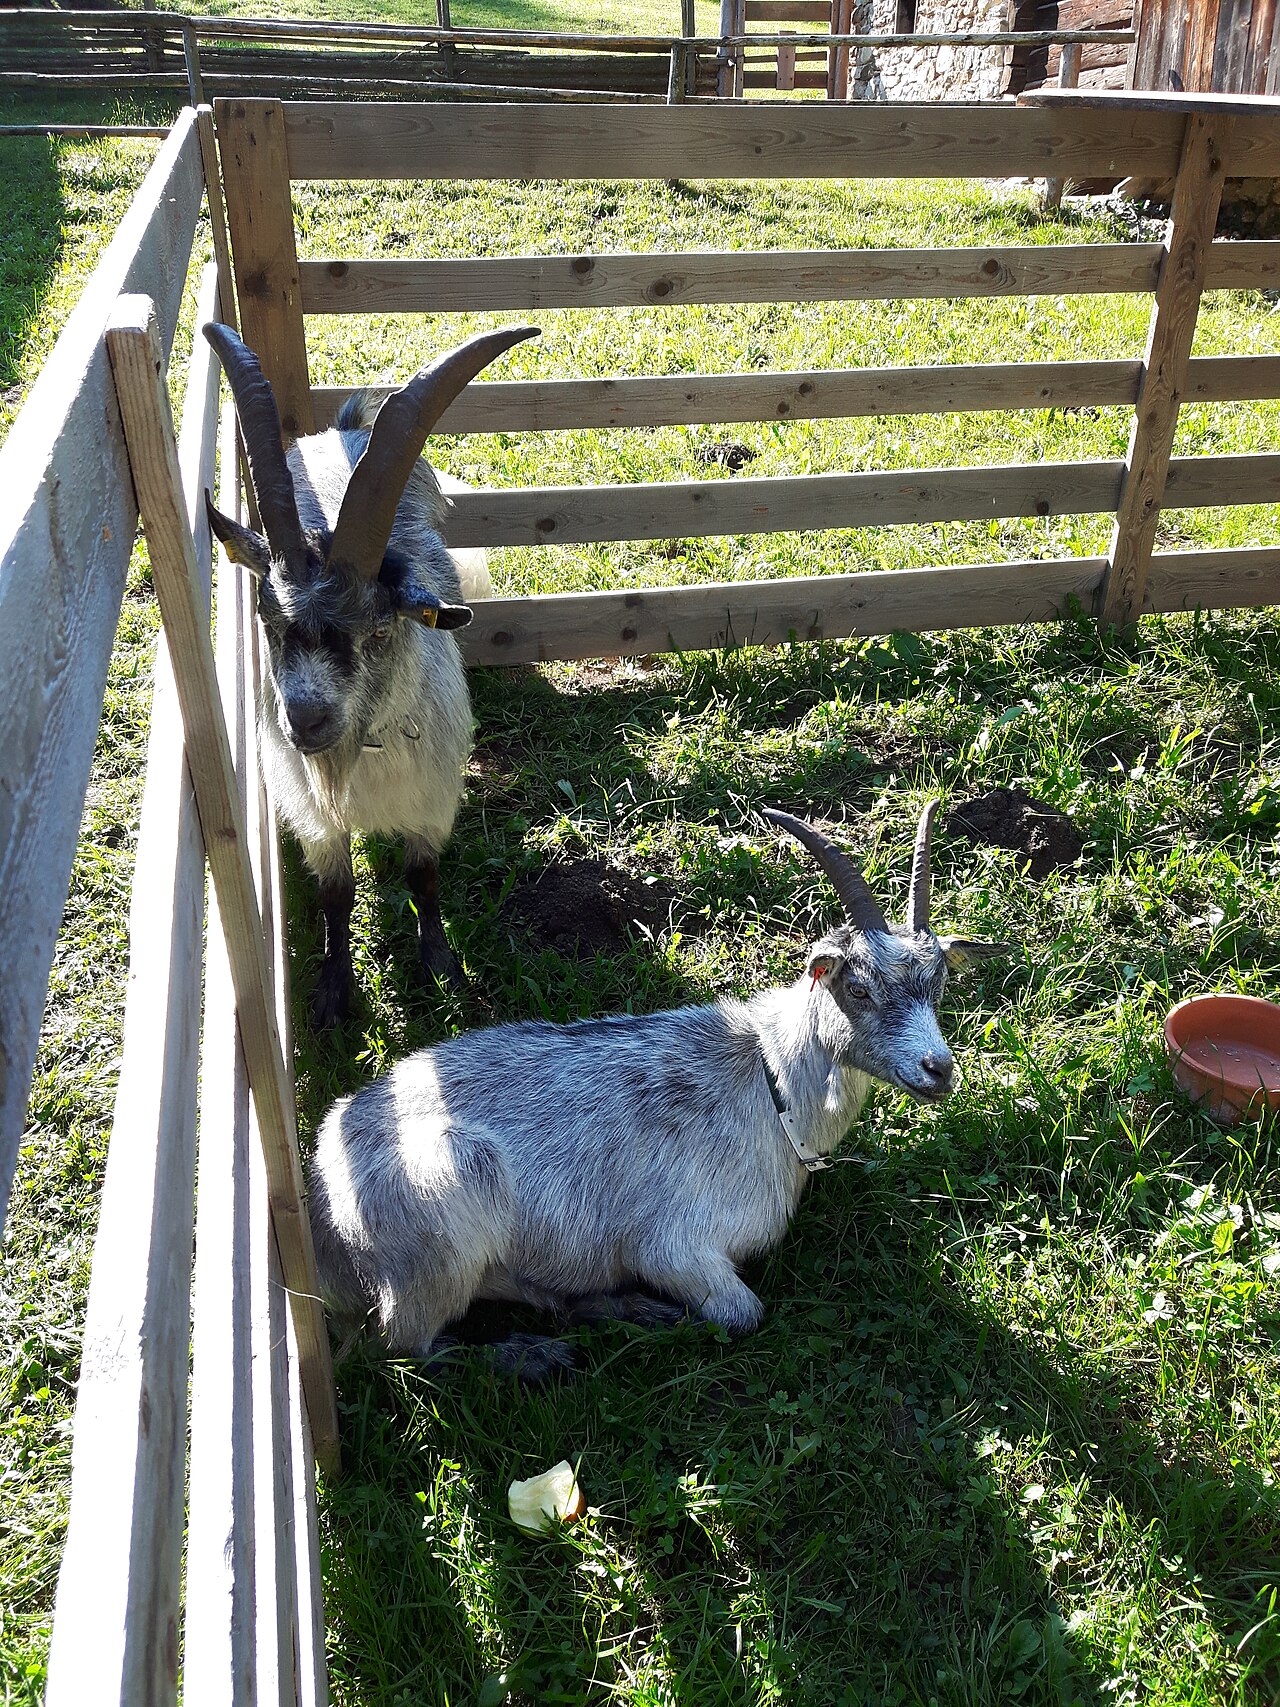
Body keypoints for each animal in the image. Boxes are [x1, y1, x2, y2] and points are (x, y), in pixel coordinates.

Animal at [203, 321, 538, 1027]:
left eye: (379, 632)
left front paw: (440, 965)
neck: (364, 758)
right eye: (267, 620)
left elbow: (423, 878)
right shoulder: (315, 818)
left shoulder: (432, 801)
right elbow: (337, 893)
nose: (305, 719)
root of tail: (345, 429)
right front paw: (333, 989)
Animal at [309, 803, 1014, 1377]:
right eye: (859, 988)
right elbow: (744, 1313)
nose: (937, 1069)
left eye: (939, 982)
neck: (768, 1084)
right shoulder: (676, 1245)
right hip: (440, 1220)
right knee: (403, 1345)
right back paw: (540, 1353)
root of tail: (322, 1187)